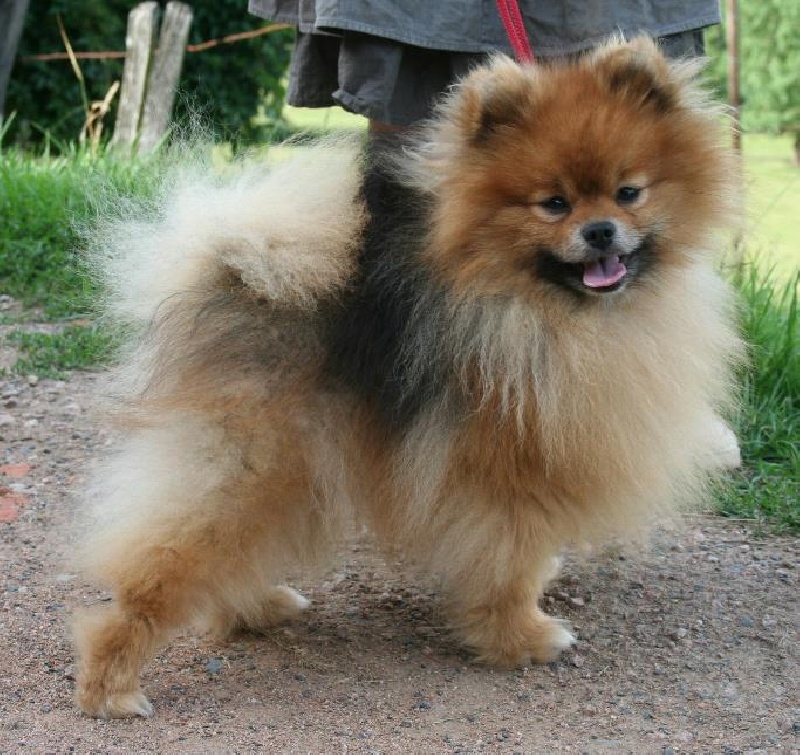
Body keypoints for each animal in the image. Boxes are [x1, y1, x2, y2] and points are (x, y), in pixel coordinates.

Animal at [76, 37, 744, 720]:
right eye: (553, 204)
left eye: (629, 192)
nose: (601, 230)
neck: (551, 312)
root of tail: (232, 272)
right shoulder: (503, 472)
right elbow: (508, 562)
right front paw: (521, 637)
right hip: (253, 464)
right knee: (161, 564)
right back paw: (110, 686)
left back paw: (257, 608)